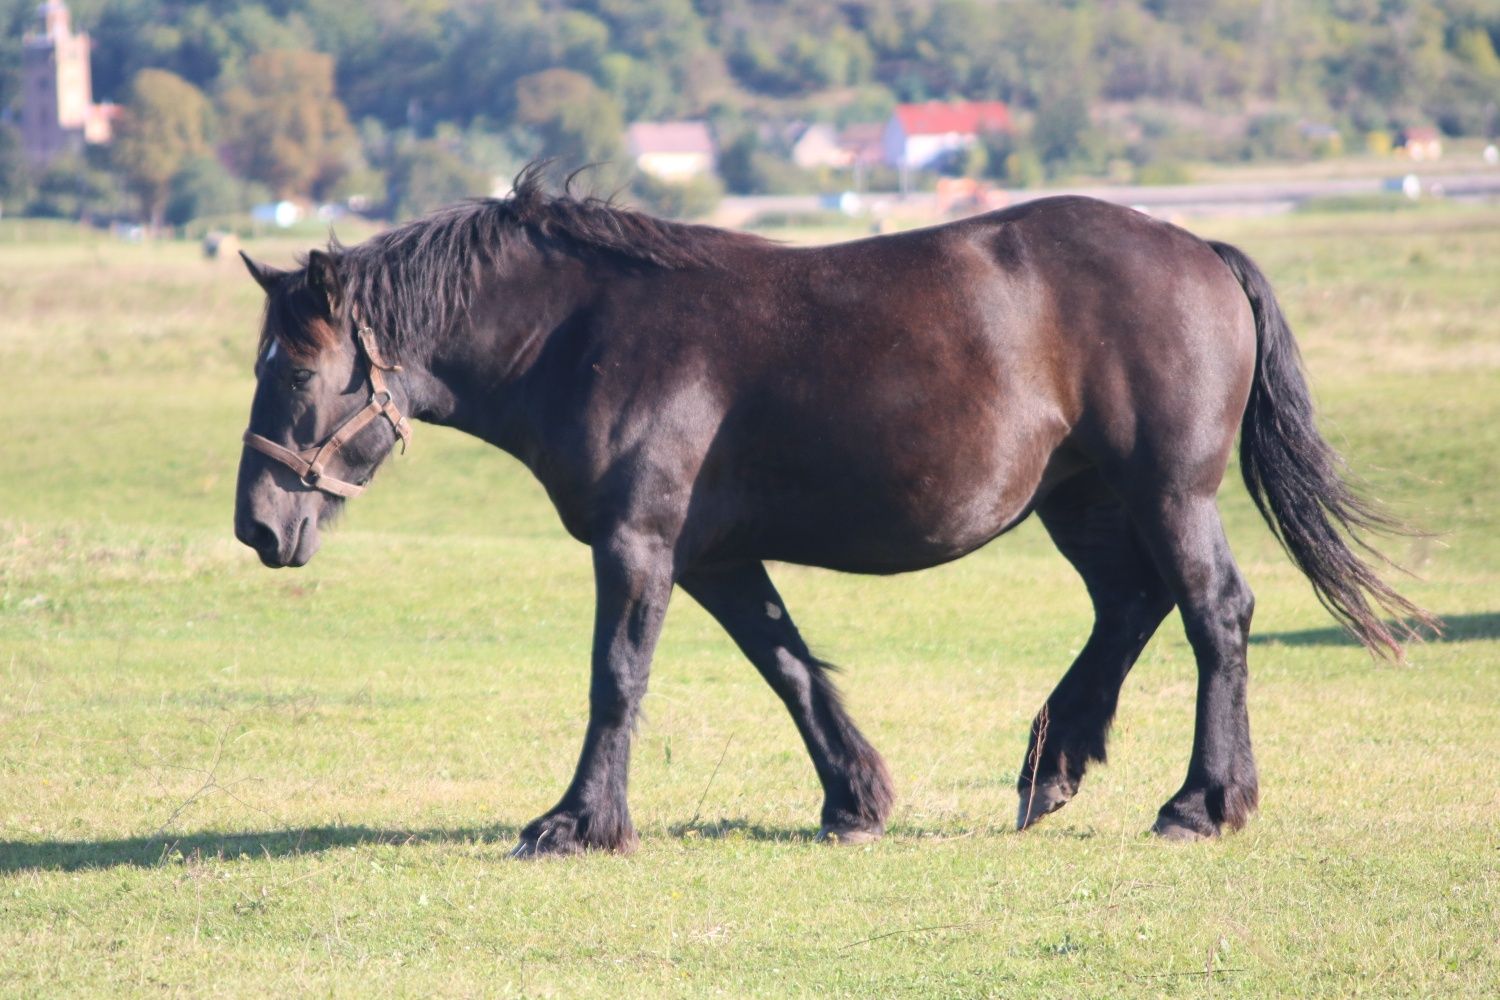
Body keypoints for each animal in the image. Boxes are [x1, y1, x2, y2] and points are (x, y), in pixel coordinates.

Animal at [231, 167, 1428, 857]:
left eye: (295, 371)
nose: (257, 526)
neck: (589, 331)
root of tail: (1196, 246)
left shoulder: (638, 544)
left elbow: (617, 680)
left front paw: (577, 822)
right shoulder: (712, 558)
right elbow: (789, 666)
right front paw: (855, 800)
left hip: (1168, 490)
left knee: (1215, 611)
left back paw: (1201, 801)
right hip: (1082, 501)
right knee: (1132, 606)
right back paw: (1054, 763)